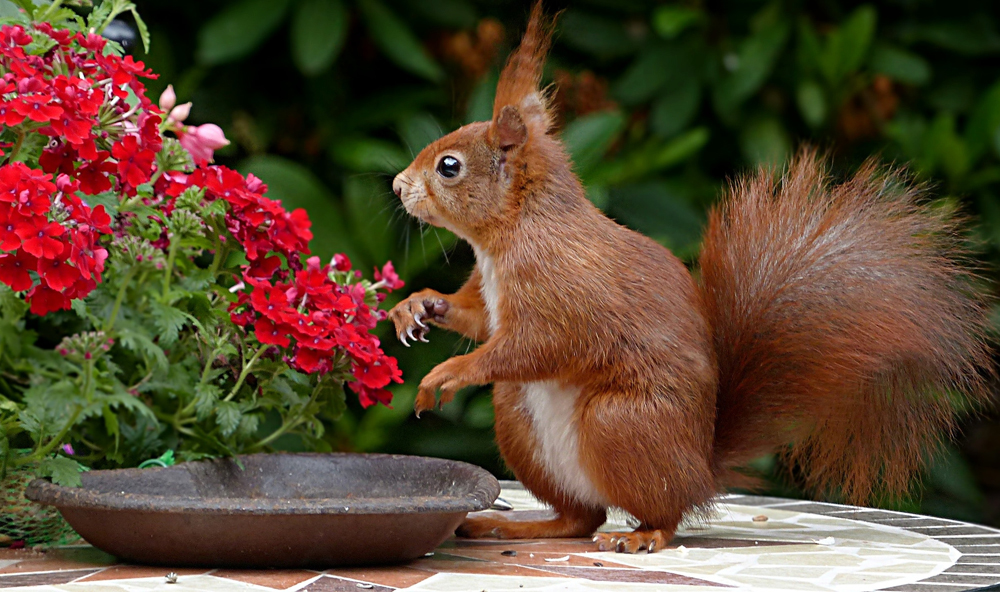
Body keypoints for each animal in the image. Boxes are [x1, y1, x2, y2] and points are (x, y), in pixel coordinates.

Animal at [388, 2, 993, 554]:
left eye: (449, 166)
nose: (396, 185)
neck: (511, 234)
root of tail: (701, 469)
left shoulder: (563, 287)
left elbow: (539, 344)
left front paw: (449, 371)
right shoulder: (491, 294)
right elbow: (477, 318)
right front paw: (417, 306)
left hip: (620, 422)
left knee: (660, 512)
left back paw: (641, 534)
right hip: (519, 418)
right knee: (580, 517)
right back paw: (514, 525)